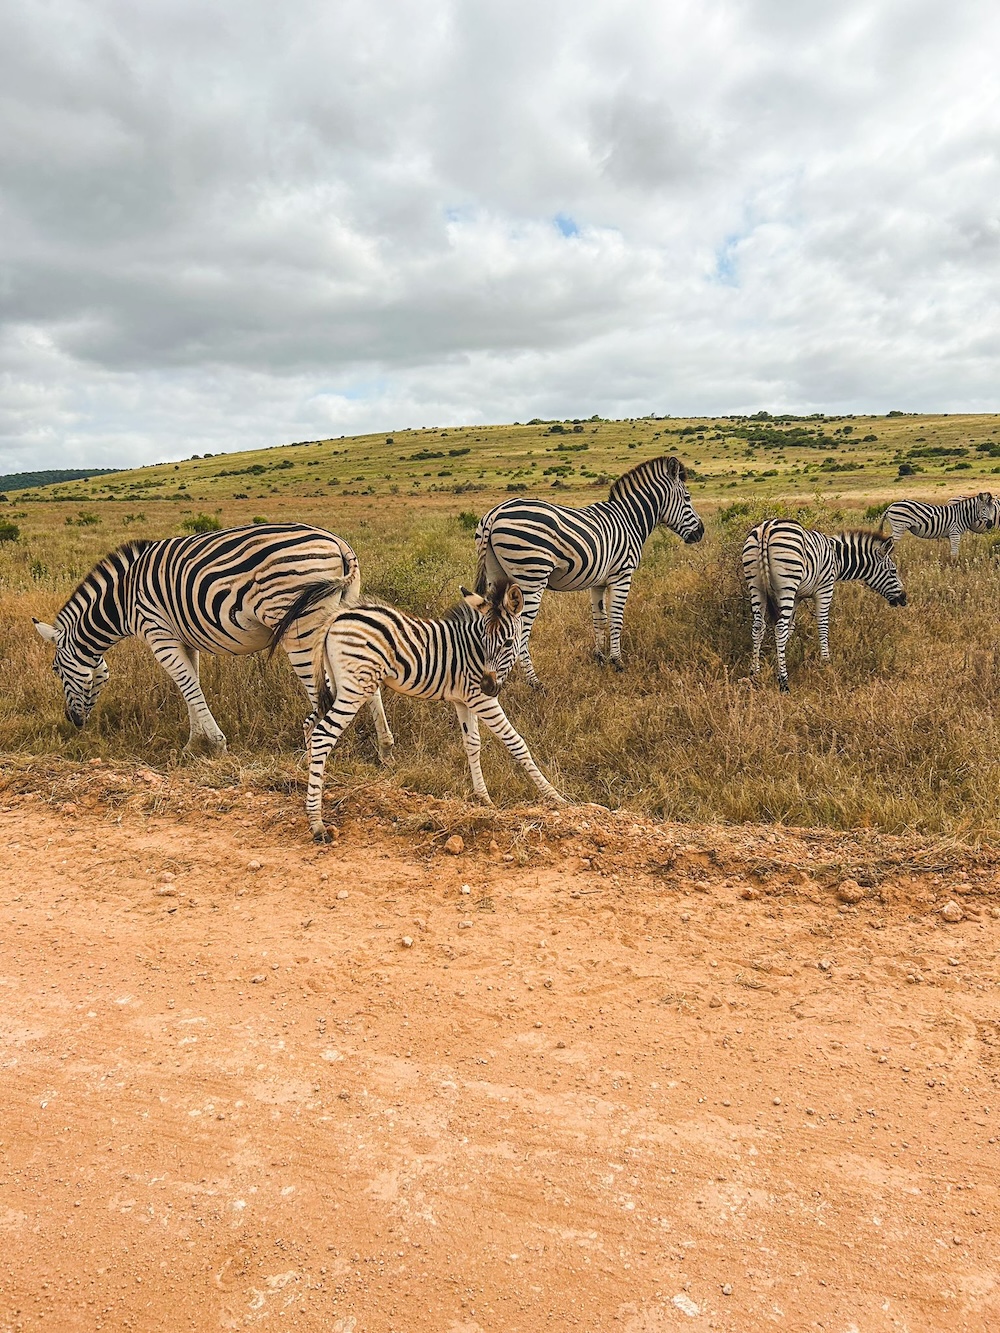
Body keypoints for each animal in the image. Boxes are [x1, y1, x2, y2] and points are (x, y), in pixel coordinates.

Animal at [32, 525, 392, 767]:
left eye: (56, 670)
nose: (74, 722)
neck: (122, 601)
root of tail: (339, 544)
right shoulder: (183, 638)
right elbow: (191, 685)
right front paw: (193, 744)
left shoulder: (158, 634)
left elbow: (189, 687)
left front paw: (216, 745)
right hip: (341, 618)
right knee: (364, 680)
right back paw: (385, 749)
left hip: (300, 629)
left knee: (322, 693)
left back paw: (313, 756)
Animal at [270, 575, 568, 842]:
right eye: (484, 642)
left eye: (506, 643)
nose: (488, 685)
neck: (471, 652)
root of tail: (339, 615)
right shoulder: (481, 700)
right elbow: (516, 743)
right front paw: (555, 796)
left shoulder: (465, 700)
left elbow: (472, 744)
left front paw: (483, 798)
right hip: (355, 686)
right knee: (323, 734)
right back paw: (317, 822)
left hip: (336, 683)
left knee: (311, 724)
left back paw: (314, 780)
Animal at [474, 455, 704, 687]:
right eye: (687, 498)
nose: (701, 532)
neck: (629, 520)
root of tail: (495, 513)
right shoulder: (622, 576)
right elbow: (616, 619)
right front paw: (617, 661)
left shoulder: (598, 582)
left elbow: (599, 618)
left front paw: (600, 657)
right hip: (531, 578)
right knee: (520, 628)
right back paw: (534, 681)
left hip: (497, 575)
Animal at [746, 514, 906, 693]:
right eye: (893, 571)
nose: (904, 598)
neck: (837, 559)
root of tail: (766, 529)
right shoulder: (825, 589)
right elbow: (822, 626)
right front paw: (826, 662)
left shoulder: (797, 596)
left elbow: (790, 627)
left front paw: (777, 662)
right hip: (787, 583)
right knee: (779, 628)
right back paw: (784, 684)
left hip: (756, 586)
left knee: (758, 626)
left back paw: (754, 673)